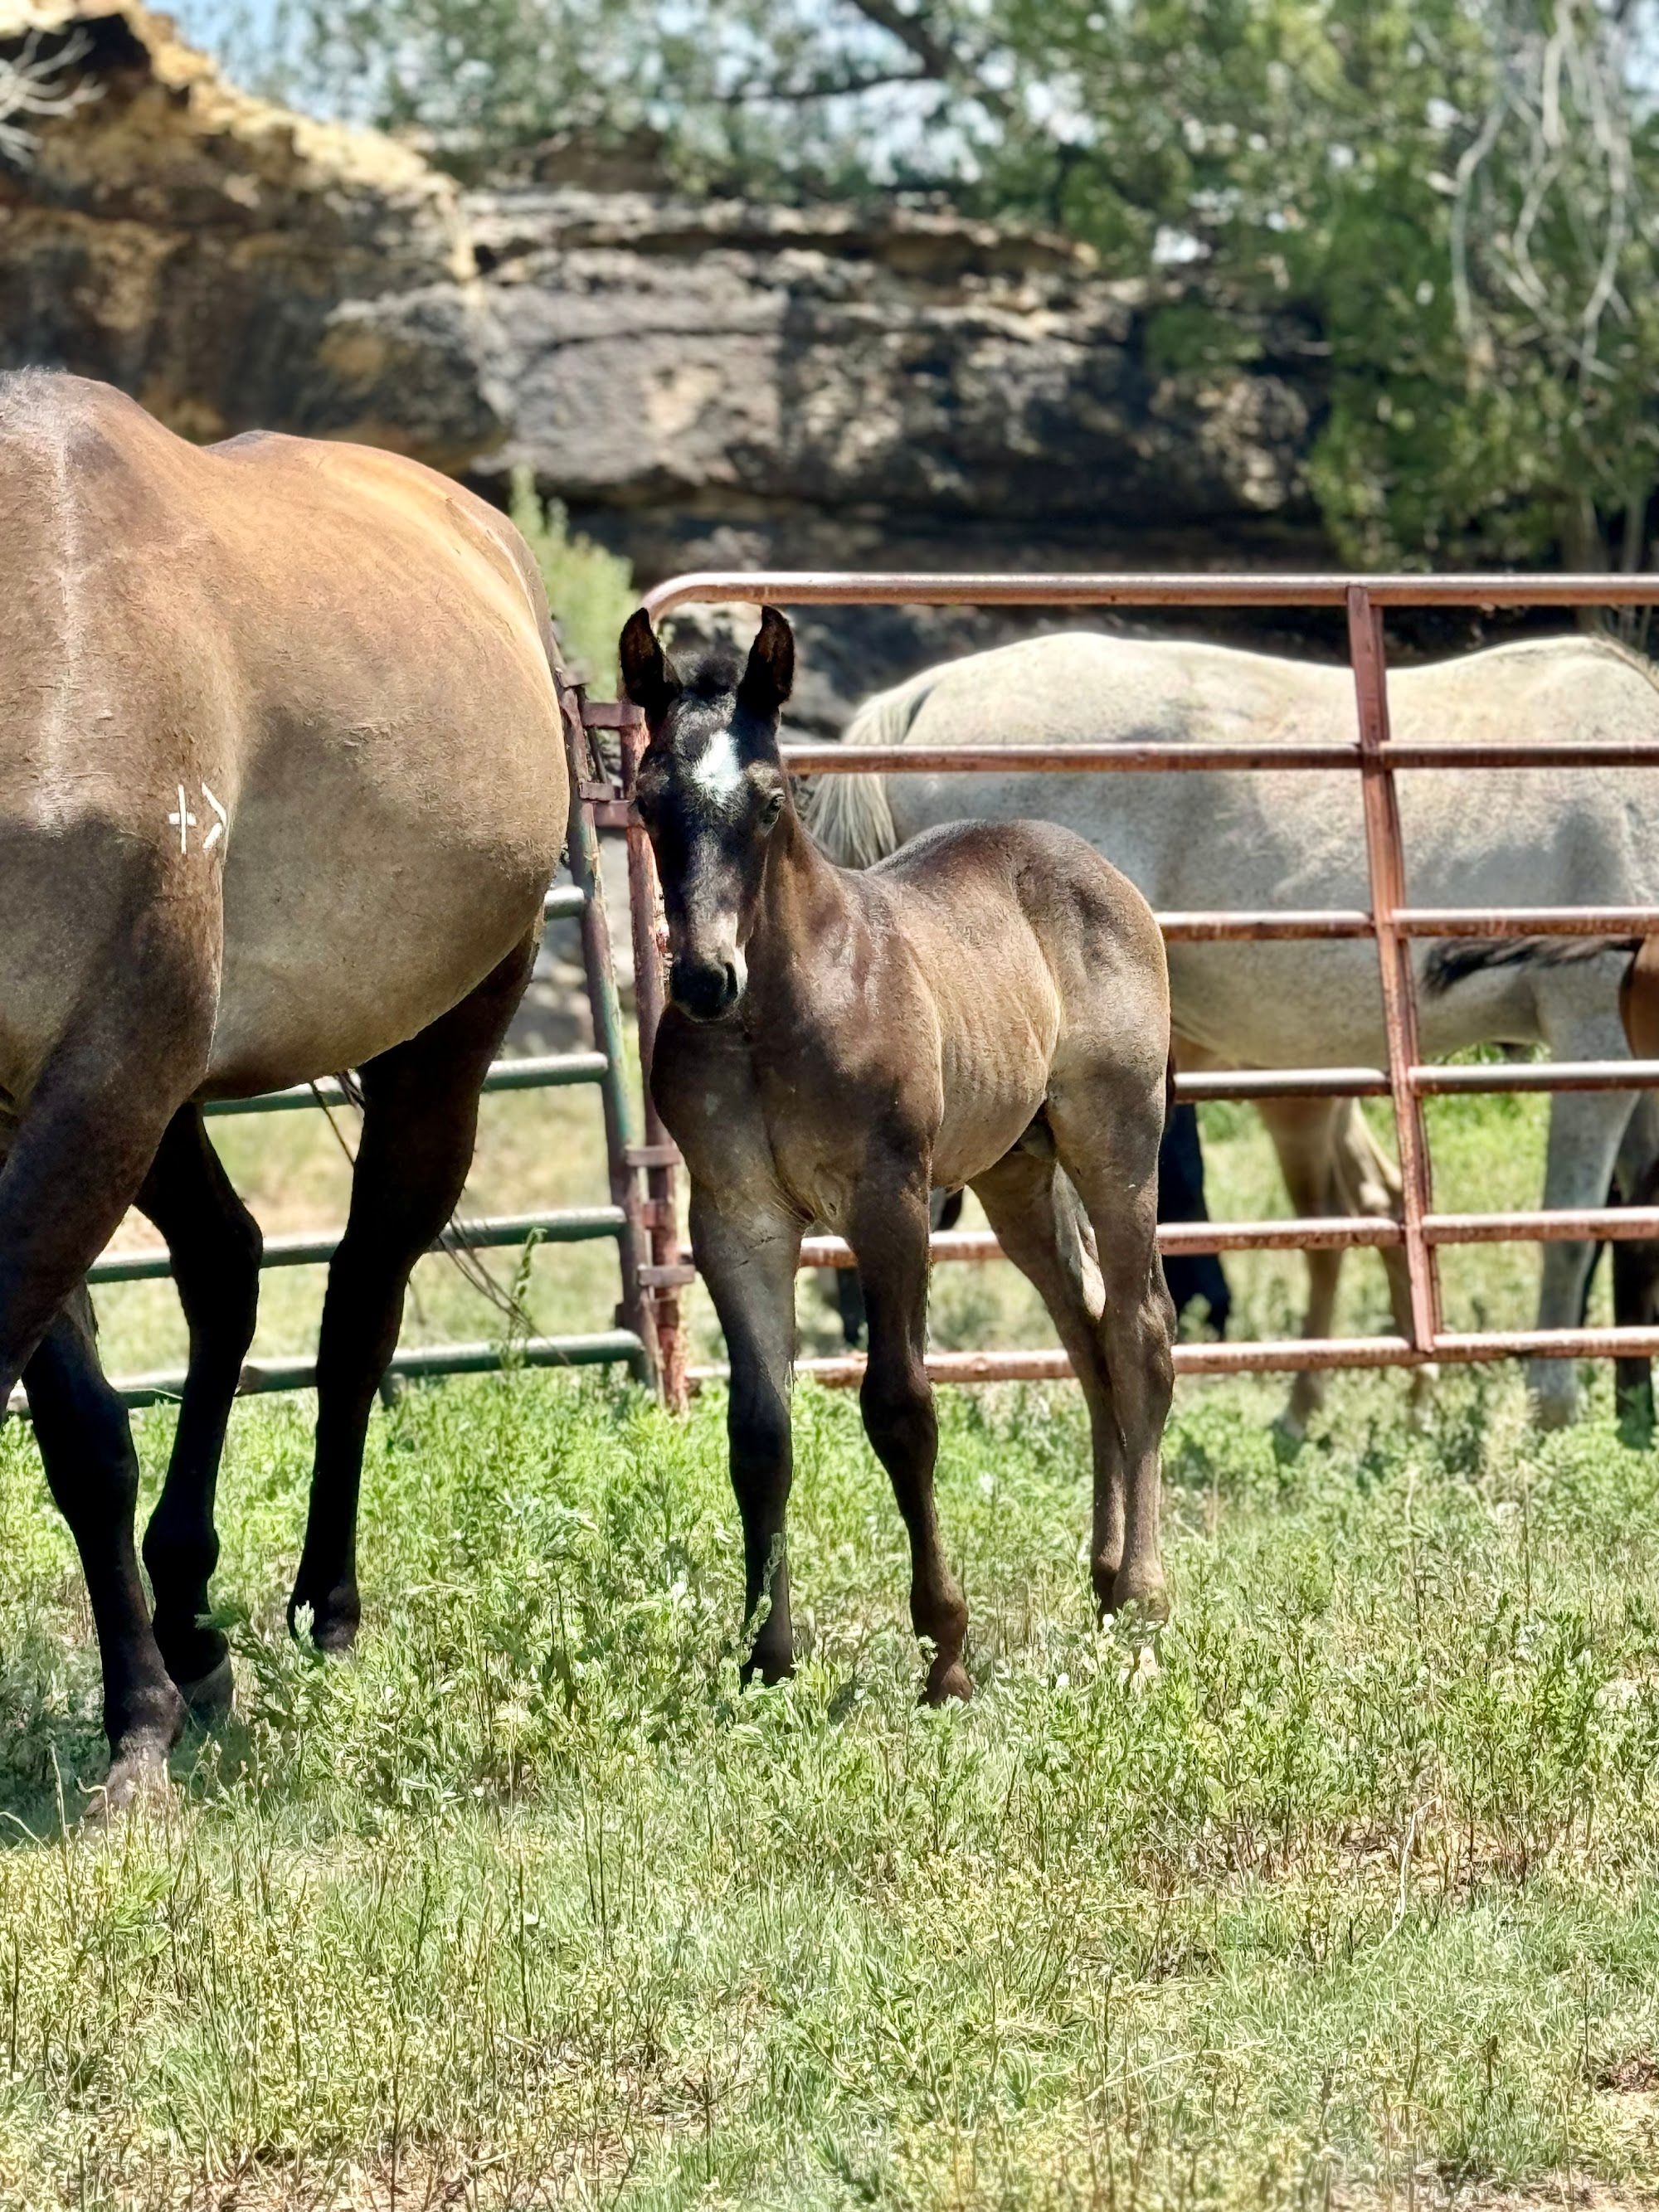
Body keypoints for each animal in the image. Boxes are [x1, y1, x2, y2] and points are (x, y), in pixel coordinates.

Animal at [2, 371, 571, 1805]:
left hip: (439, 1051)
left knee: (357, 1307)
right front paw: (148, 1697)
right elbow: (81, 1431)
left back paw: (328, 1606)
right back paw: (192, 1617)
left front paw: (137, 1737)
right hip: (170, 1103)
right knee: (232, 1261)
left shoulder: (99, 1080)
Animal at [619, 605, 1176, 1700]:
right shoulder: (735, 1221)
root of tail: (1091, 866)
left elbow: (900, 1407)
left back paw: (1140, 1596)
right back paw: (1099, 1577)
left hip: (1116, 1139)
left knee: (1139, 1330)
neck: (775, 1015)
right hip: (1017, 1173)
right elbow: (759, 1434)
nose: (703, 978)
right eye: (649, 800)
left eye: (769, 800)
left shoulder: (889, 1203)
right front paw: (766, 1659)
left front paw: (944, 1653)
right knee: (1087, 1332)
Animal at [809, 628, 1659, 1427]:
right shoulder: (1589, 1033)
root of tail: (922, 697)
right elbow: (1574, 1220)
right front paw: (1557, 1396)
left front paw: (1629, 1398)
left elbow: (1634, 1217)